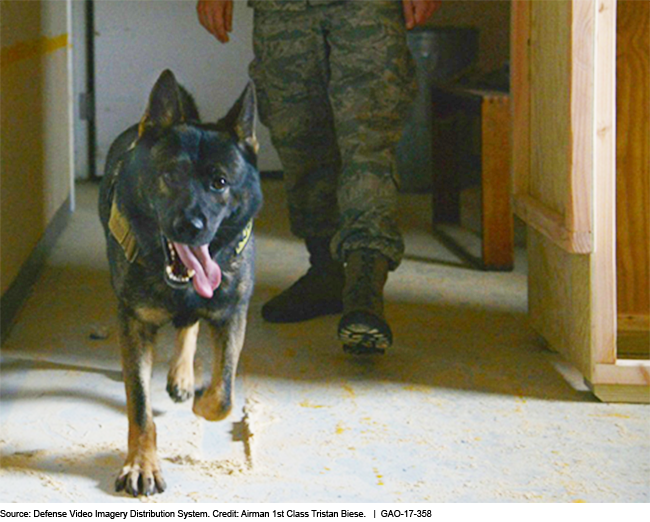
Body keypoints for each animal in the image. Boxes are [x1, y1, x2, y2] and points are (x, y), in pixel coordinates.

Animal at [97, 70, 260, 496]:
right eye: (170, 175)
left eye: (220, 181)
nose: (191, 226)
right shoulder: (134, 324)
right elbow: (139, 406)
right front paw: (142, 463)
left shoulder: (232, 313)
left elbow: (223, 395)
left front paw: (201, 399)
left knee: (190, 324)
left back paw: (184, 377)